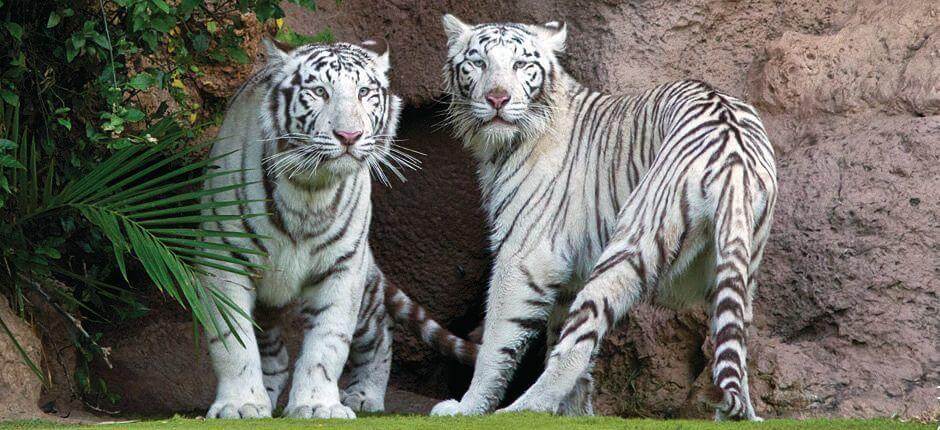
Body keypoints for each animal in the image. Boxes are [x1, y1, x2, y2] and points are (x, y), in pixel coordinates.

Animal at [199, 37, 478, 420]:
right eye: (319, 91)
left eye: (363, 92)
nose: (349, 135)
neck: (308, 190)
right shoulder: (224, 262)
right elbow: (233, 342)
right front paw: (241, 404)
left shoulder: (343, 267)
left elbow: (328, 343)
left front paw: (317, 404)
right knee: (275, 354)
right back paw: (266, 399)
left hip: (365, 293)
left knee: (380, 333)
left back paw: (364, 395)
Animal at [430, 15, 776, 422]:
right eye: (478, 62)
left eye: (520, 64)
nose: (496, 98)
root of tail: (732, 146)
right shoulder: (570, 272)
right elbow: (560, 336)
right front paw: (577, 415)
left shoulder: (524, 255)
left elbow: (499, 338)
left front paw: (468, 407)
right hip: (744, 259)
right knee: (734, 340)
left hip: (634, 240)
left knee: (579, 339)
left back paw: (523, 409)